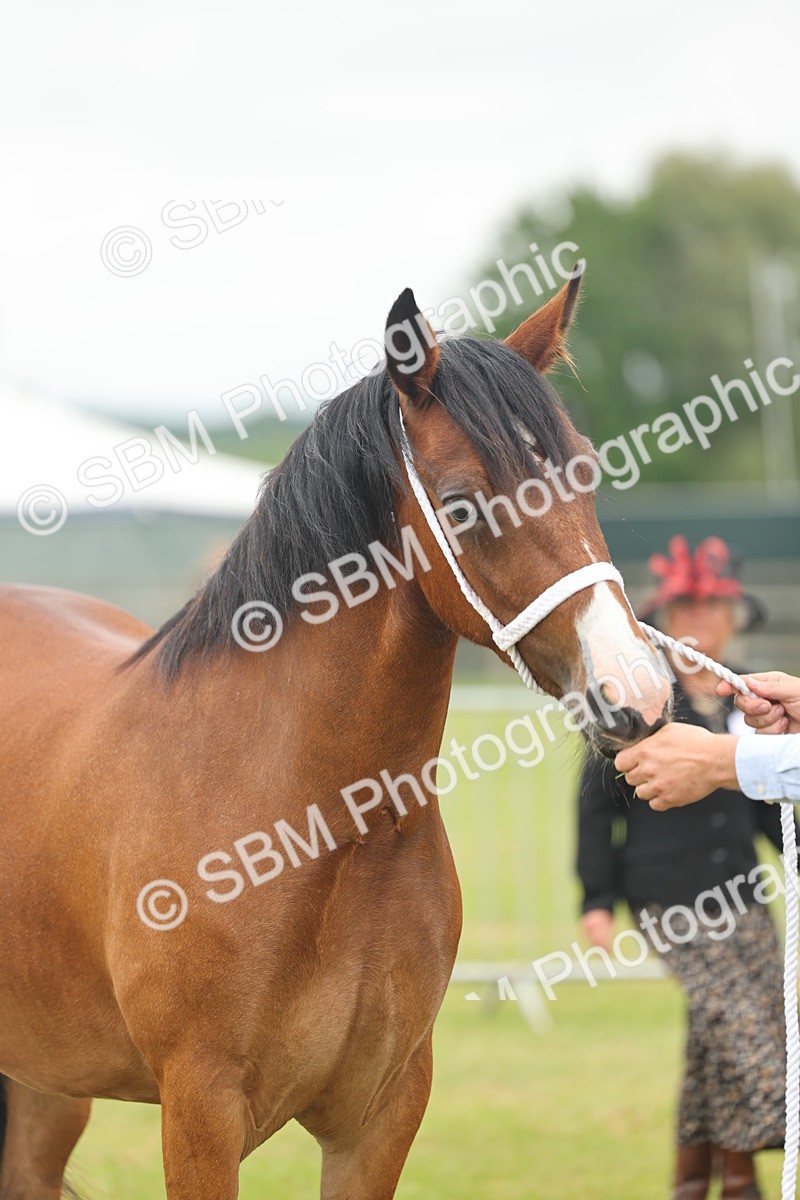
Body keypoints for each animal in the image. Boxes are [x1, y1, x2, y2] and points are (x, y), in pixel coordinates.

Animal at [0, 273, 671, 1199]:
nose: (636, 694)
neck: (324, 827)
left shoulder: (381, 1115)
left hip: (47, 1089)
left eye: (585, 474)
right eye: (462, 504)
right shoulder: (199, 1113)